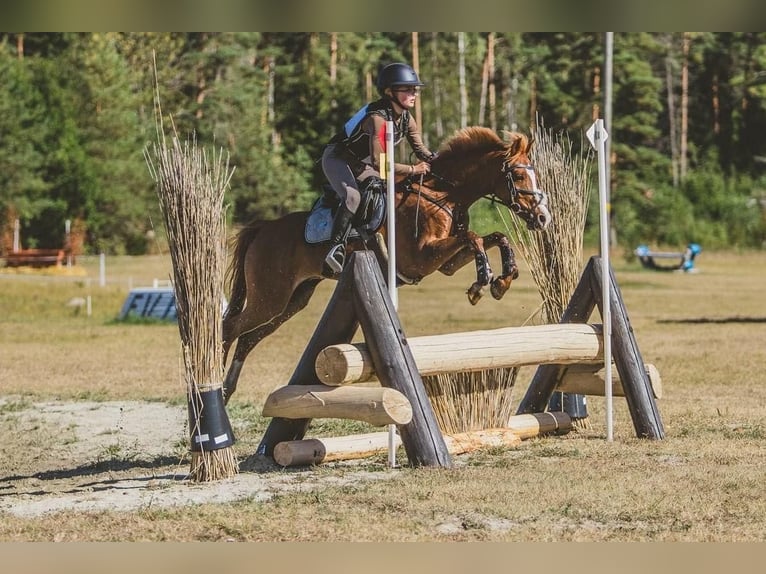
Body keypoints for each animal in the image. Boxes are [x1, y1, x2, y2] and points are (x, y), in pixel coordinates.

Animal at [222, 127, 552, 402]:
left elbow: (494, 237)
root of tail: (263, 228)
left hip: (292, 301)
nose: (543, 217)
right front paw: (483, 280)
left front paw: (502, 280)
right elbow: (474, 238)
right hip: (270, 297)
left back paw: (226, 390)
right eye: (519, 177)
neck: (442, 194)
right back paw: (213, 379)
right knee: (229, 326)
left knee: (247, 338)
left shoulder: (445, 263)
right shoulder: (420, 258)